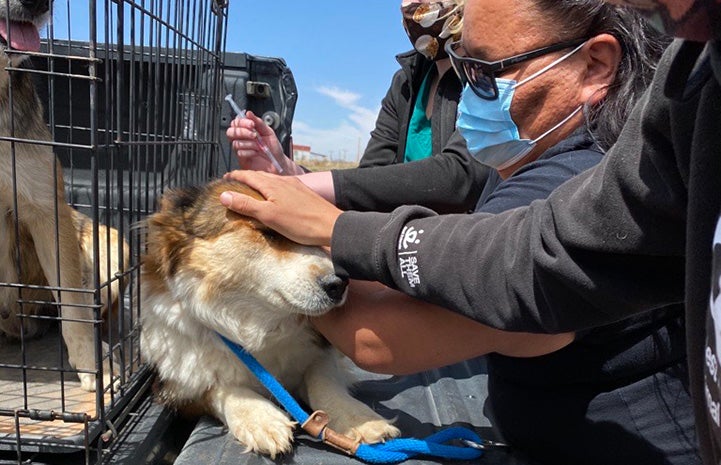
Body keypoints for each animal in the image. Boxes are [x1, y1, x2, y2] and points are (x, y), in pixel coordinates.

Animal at [139, 180, 400, 456]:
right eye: (269, 232)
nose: (339, 284)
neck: (259, 323)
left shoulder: (321, 351)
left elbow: (323, 378)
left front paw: (358, 418)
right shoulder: (176, 388)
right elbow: (219, 387)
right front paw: (260, 419)